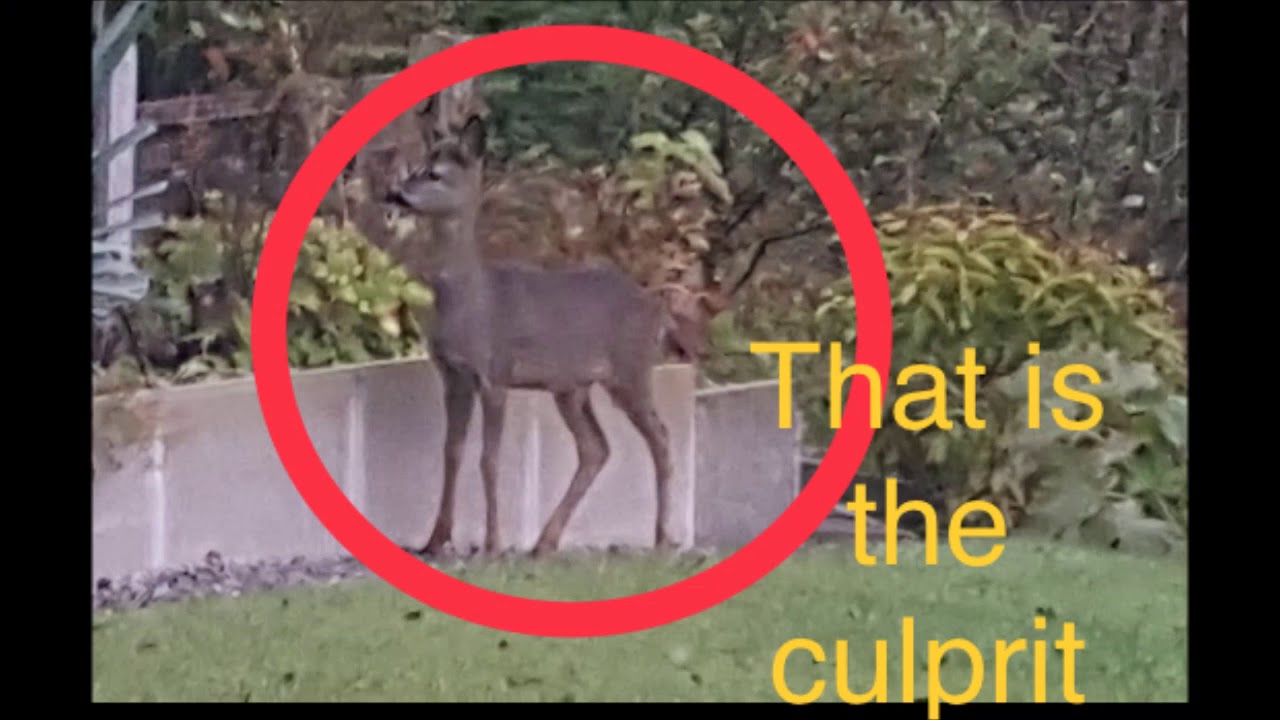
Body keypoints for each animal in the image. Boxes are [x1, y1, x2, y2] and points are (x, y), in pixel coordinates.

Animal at [381, 110, 730, 559]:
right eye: (416, 167)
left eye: (435, 174)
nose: (394, 194)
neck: (472, 301)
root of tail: (658, 308)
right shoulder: (453, 375)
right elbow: (452, 452)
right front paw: (435, 539)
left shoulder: (495, 371)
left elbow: (489, 459)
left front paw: (491, 544)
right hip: (571, 386)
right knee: (596, 448)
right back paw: (545, 542)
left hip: (630, 370)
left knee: (660, 437)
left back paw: (661, 539)